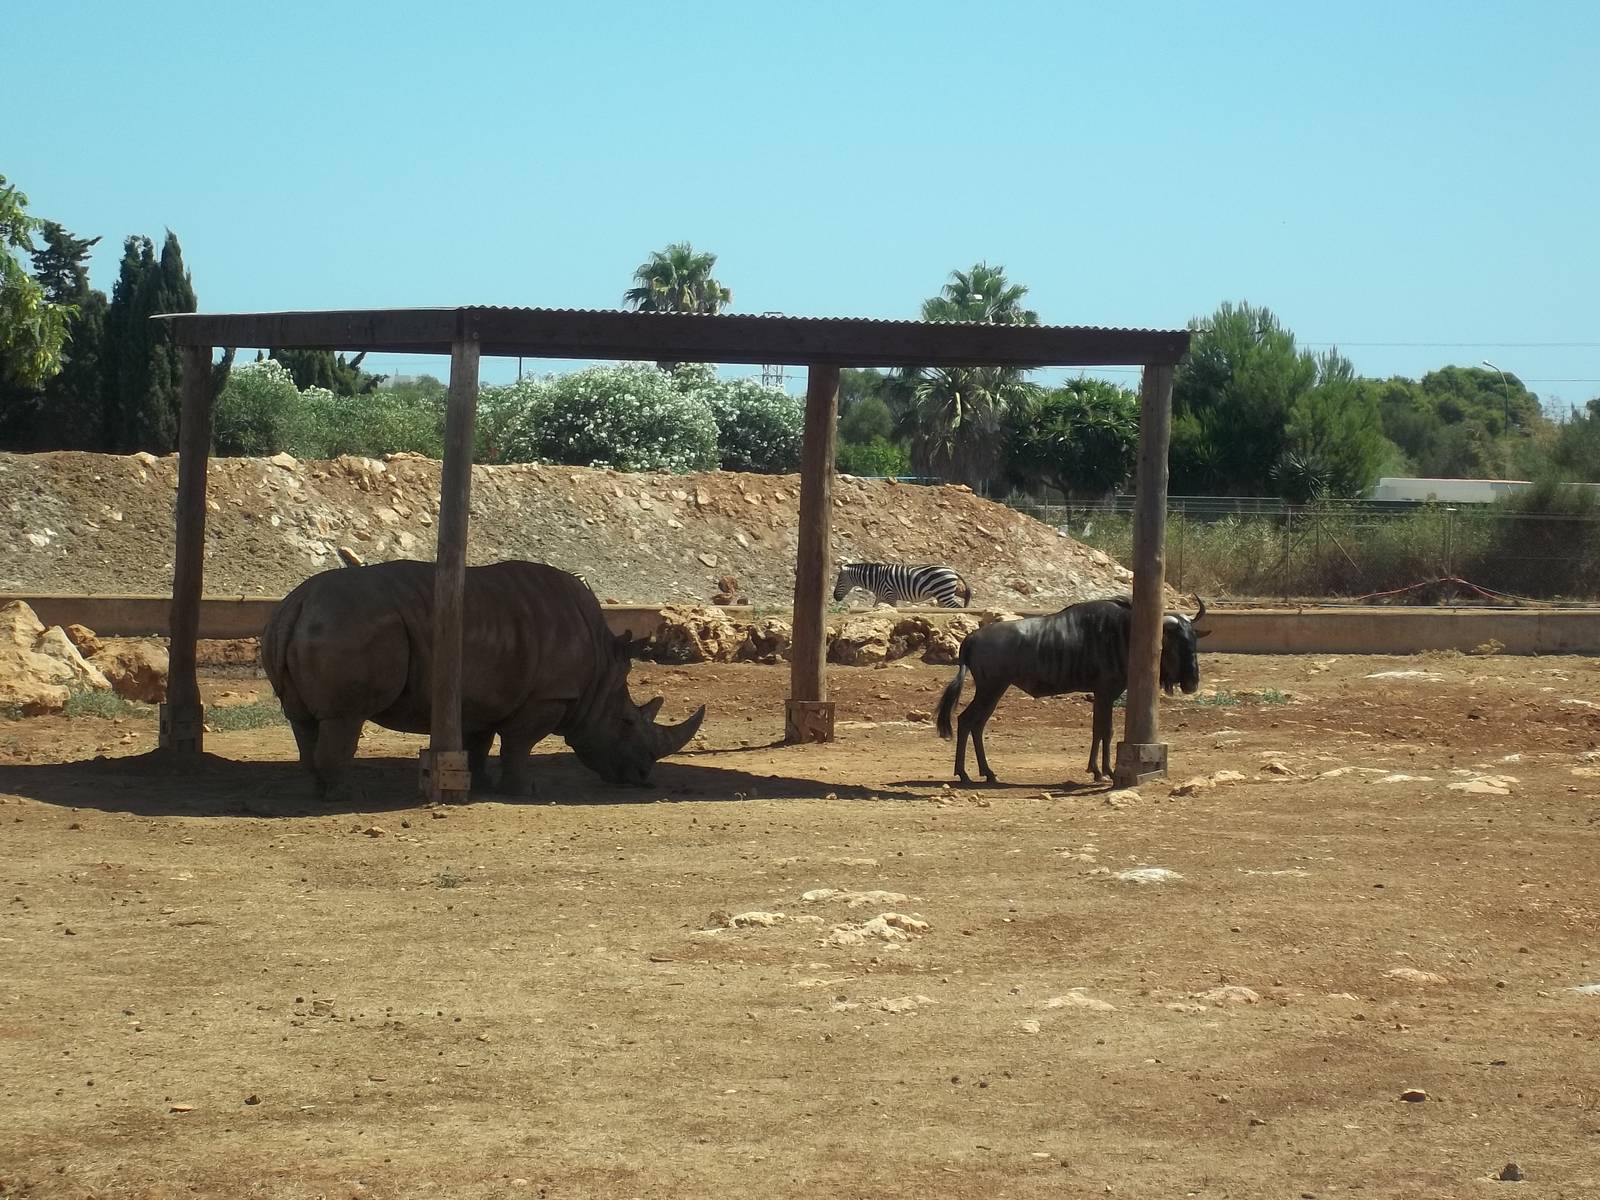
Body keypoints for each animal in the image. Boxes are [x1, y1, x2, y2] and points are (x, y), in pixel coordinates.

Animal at [261, 559, 704, 799]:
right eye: (627, 723)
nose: (644, 778)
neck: (599, 677)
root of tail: (297, 603)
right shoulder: (548, 697)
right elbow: (518, 745)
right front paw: (523, 791)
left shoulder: (484, 694)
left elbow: (479, 742)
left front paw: (483, 784)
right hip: (347, 625)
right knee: (344, 719)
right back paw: (349, 796)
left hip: (307, 622)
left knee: (303, 720)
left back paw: (319, 791)